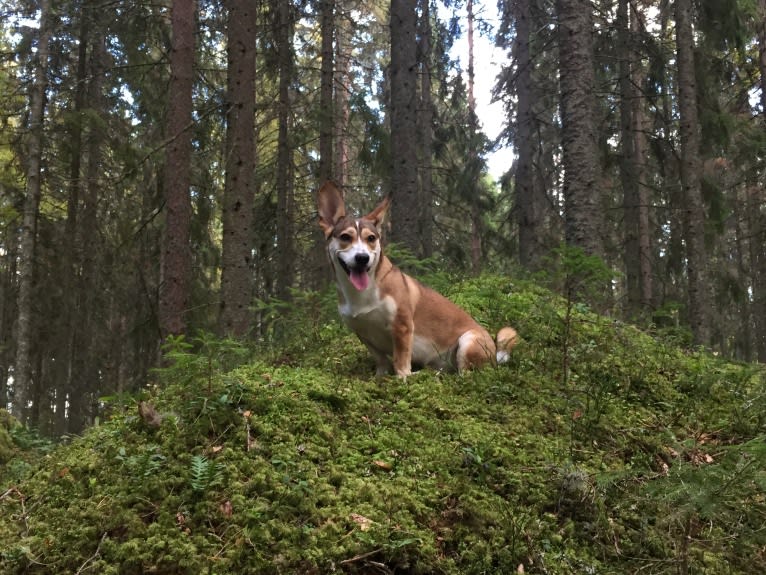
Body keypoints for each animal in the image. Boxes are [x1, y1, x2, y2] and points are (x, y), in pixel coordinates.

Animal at [316, 181, 520, 378]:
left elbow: (400, 359)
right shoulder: (364, 334)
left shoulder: (402, 326)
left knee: (466, 374)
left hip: (467, 341)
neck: (362, 294)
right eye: (345, 237)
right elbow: (381, 361)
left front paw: (403, 378)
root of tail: (494, 354)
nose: (362, 258)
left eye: (371, 238)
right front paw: (379, 378)